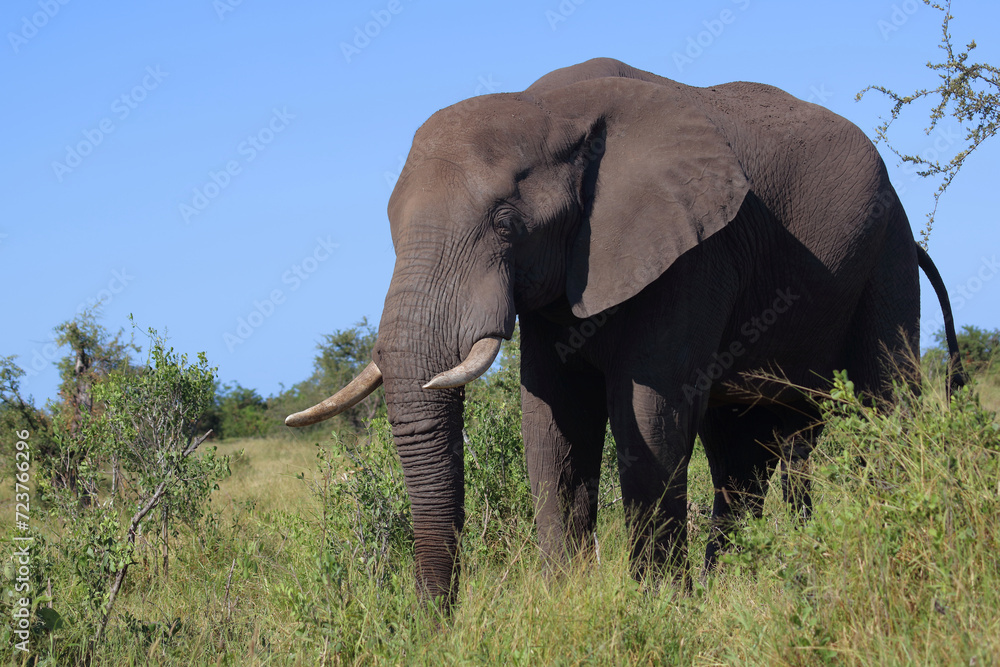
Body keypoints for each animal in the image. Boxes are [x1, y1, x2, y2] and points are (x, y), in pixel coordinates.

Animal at [285, 58, 965, 605]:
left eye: (505, 221)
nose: (434, 623)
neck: (552, 109)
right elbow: (553, 424)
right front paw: (569, 603)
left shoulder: (693, 254)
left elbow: (648, 413)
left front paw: (658, 608)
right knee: (741, 453)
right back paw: (733, 585)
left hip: (885, 250)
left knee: (884, 405)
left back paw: (889, 553)